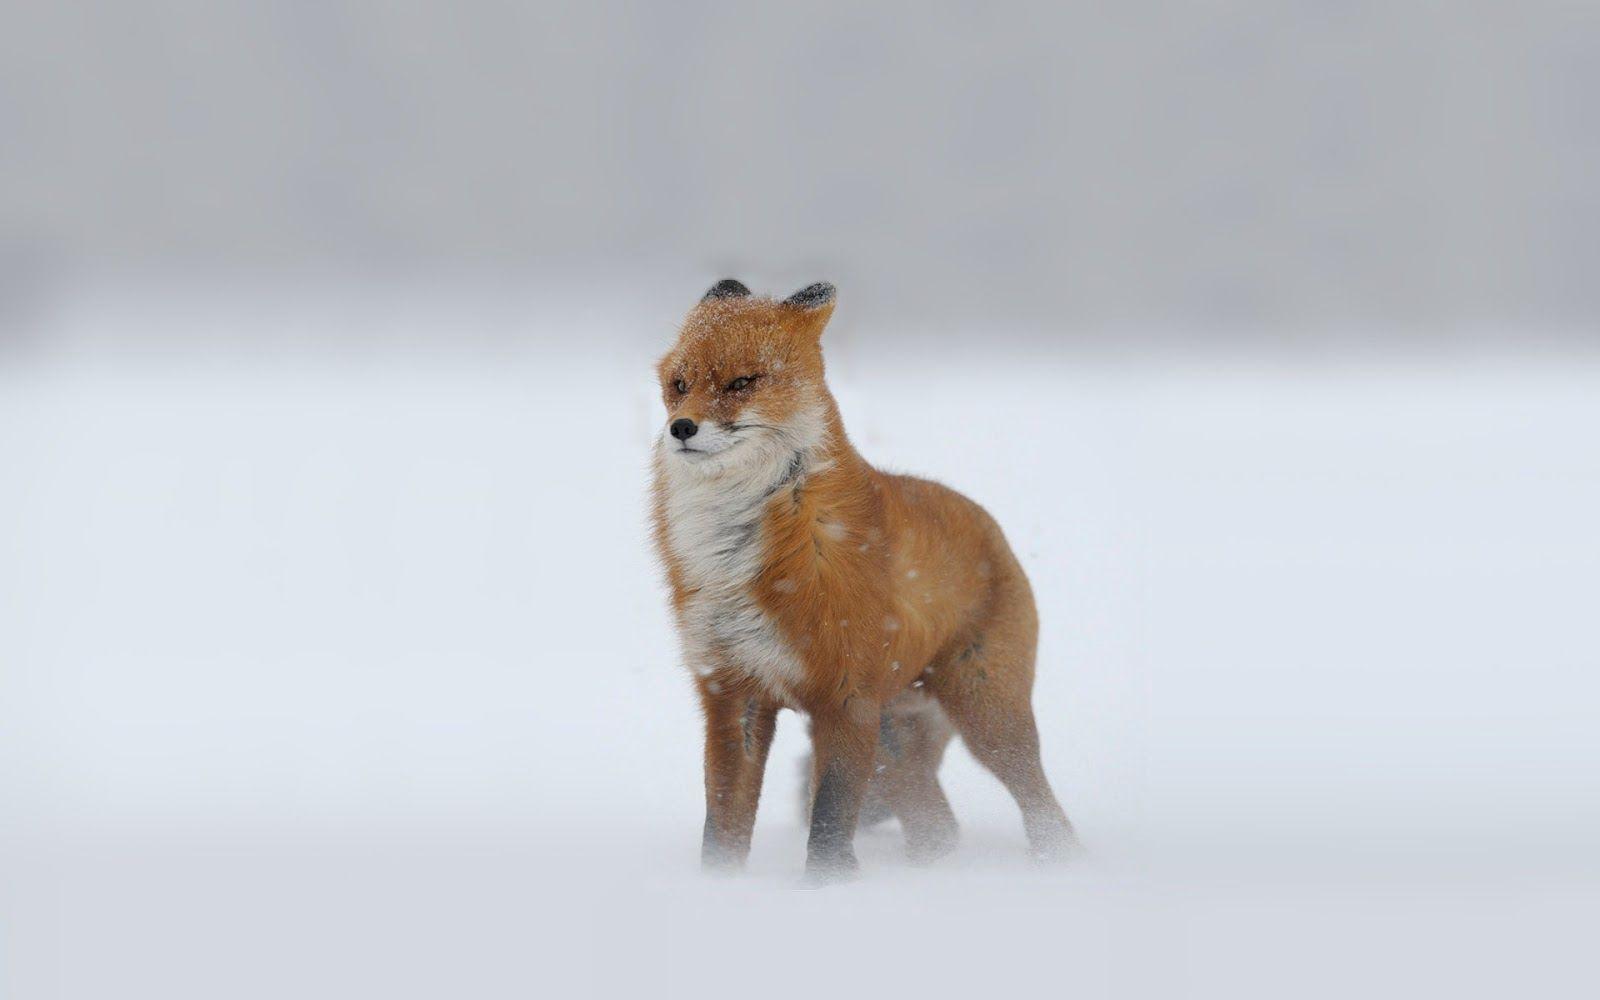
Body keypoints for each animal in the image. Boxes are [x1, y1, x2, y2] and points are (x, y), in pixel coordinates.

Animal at [651, 279, 1077, 881]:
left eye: (741, 382)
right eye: (679, 385)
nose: (681, 428)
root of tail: (989, 524)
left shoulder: (845, 697)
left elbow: (829, 820)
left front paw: (826, 890)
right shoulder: (733, 693)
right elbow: (723, 823)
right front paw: (719, 886)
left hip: (987, 719)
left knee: (1044, 810)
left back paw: (1058, 866)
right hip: (894, 742)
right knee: (938, 828)